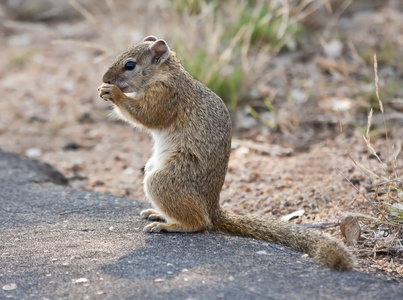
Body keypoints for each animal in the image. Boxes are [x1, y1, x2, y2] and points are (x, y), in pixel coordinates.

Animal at [99, 35, 356, 272]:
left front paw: (113, 93)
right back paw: (159, 214)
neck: (165, 73)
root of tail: (213, 209)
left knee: (200, 224)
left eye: (130, 65)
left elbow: (147, 115)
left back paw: (169, 225)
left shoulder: (166, 95)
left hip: (163, 181)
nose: (105, 79)